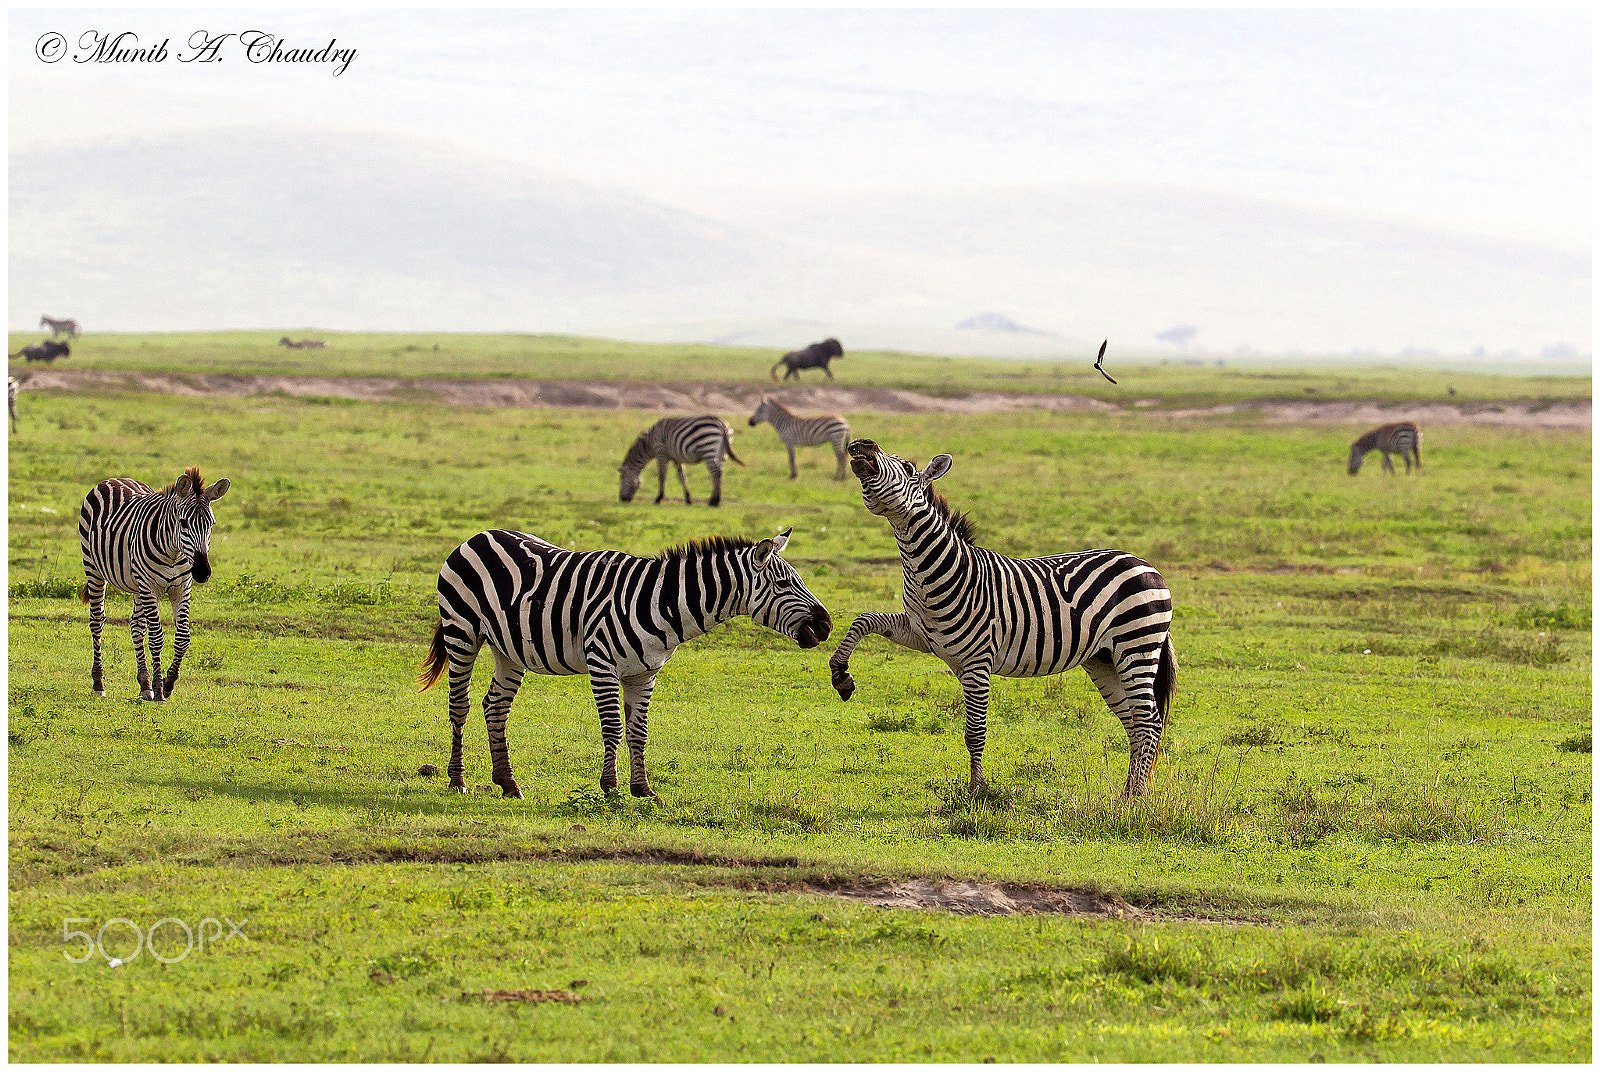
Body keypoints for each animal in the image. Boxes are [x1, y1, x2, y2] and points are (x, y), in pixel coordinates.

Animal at [78, 470, 232, 704]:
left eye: (212, 524)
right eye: (183, 523)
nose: (202, 573)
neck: (174, 553)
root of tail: (114, 479)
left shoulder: (181, 588)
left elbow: (183, 638)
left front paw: (168, 683)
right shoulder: (150, 586)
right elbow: (157, 638)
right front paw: (160, 690)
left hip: (137, 585)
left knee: (136, 626)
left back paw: (144, 685)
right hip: (94, 569)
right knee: (97, 622)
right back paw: (99, 683)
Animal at [419, 528, 832, 796]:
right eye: (784, 584)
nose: (827, 625)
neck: (661, 603)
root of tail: (478, 536)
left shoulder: (644, 673)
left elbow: (639, 730)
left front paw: (643, 788)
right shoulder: (602, 663)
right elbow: (614, 728)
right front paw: (611, 787)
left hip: (509, 650)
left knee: (495, 707)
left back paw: (507, 783)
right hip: (462, 631)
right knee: (460, 705)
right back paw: (457, 781)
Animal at [825, 441, 1177, 803]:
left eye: (908, 469)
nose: (862, 445)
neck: (934, 572)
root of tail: (1143, 563)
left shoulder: (978, 662)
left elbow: (974, 732)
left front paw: (977, 790)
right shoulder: (919, 634)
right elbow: (866, 619)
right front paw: (841, 674)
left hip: (1136, 645)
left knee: (1149, 722)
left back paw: (1135, 800)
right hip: (1103, 659)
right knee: (1135, 723)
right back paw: (1128, 796)